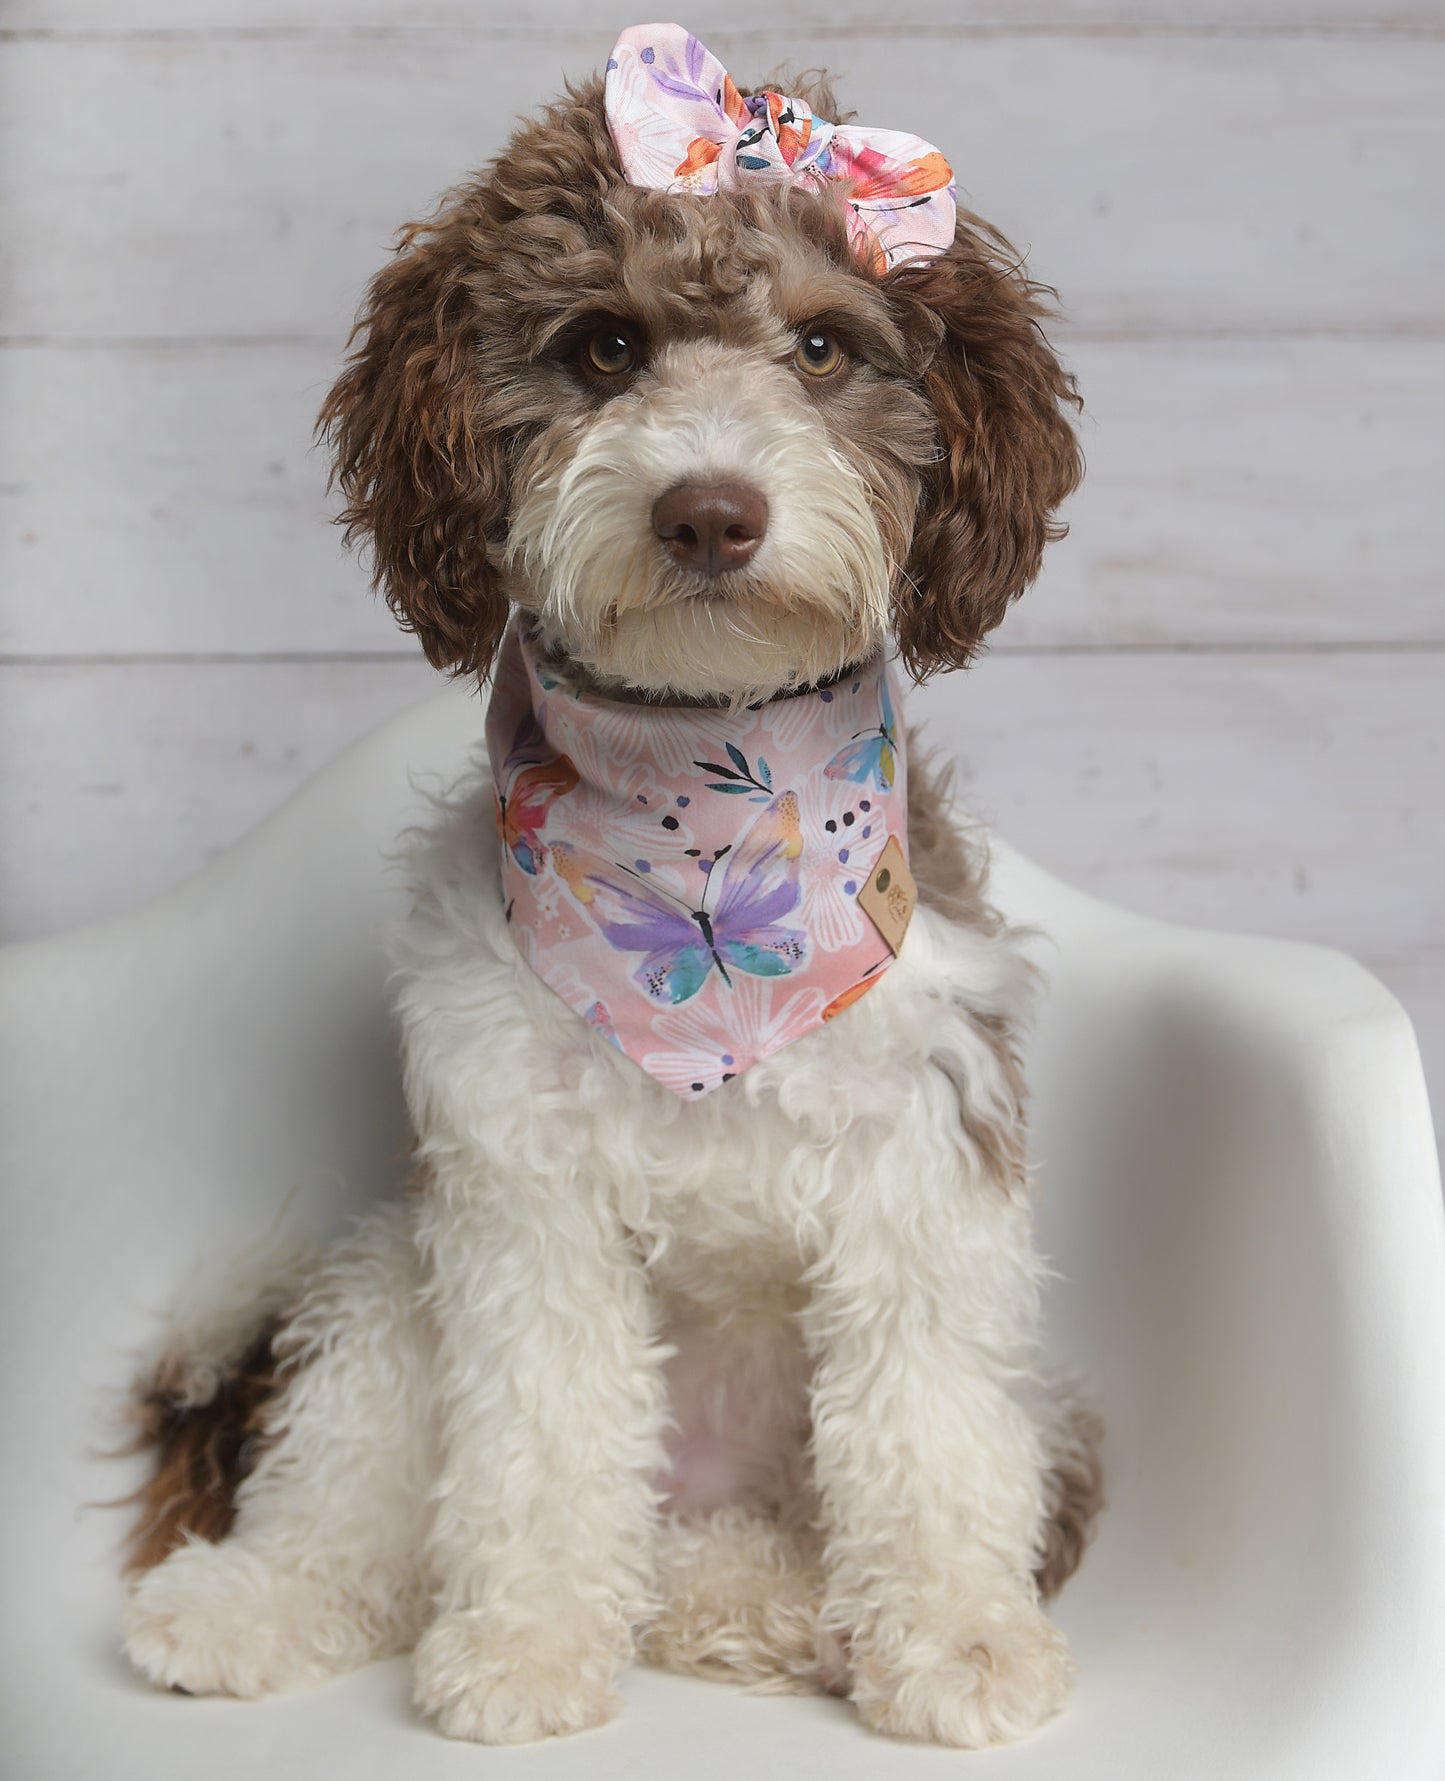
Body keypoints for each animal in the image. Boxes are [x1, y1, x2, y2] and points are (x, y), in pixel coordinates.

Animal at [118, 24, 1104, 1752]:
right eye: (602, 348)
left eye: (826, 349)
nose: (708, 508)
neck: (699, 826)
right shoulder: (523, 1197)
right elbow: (538, 1437)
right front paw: (522, 1646)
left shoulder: (928, 1165)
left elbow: (924, 1429)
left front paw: (957, 1643)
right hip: (391, 1279)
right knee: (355, 1488)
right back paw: (253, 1604)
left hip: (1023, 1409)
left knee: (794, 1526)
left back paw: (767, 1605)